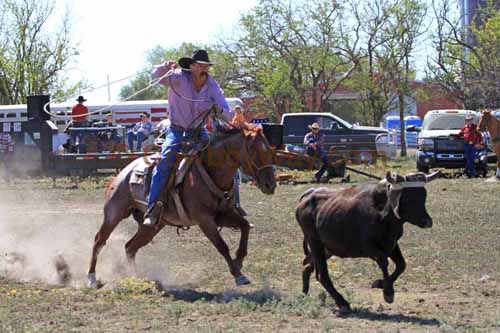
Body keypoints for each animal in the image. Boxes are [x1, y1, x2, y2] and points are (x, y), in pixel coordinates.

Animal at [88, 127, 280, 286]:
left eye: (269, 149)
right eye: (253, 151)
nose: (270, 185)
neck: (212, 172)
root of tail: (122, 174)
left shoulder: (224, 215)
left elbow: (245, 226)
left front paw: (239, 260)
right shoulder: (205, 220)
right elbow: (222, 246)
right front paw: (238, 274)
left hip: (152, 225)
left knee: (130, 247)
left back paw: (135, 277)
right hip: (114, 214)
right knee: (99, 240)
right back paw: (92, 278)